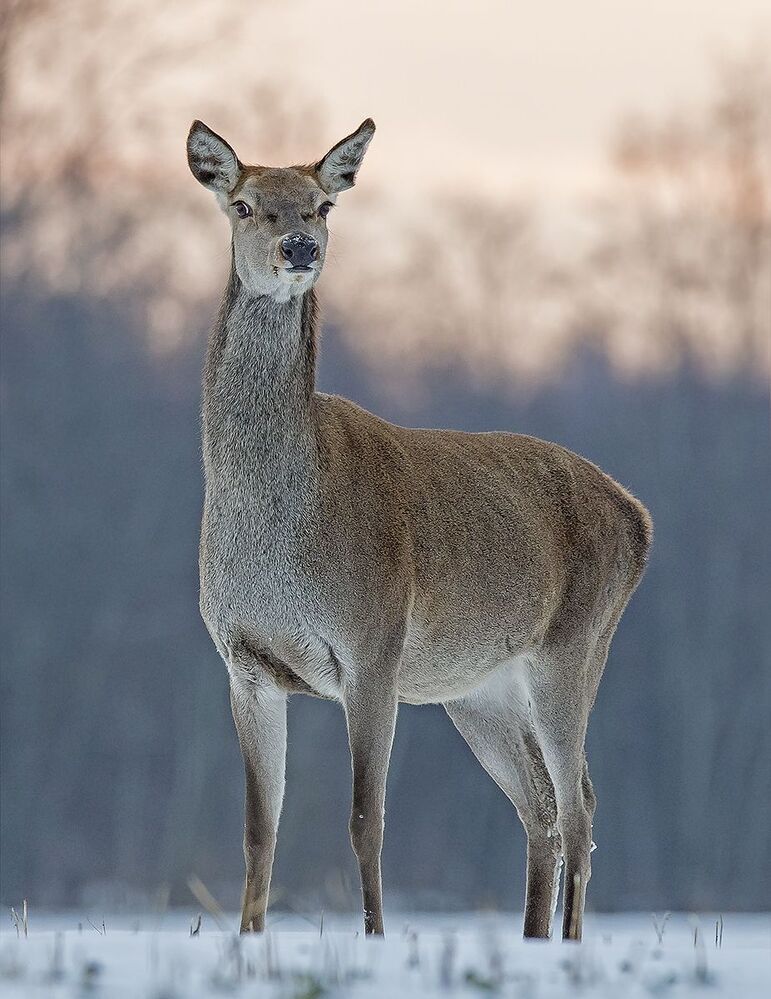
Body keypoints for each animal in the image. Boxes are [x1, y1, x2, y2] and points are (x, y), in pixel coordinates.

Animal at [186, 116, 652, 942]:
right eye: (242, 204)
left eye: (322, 205)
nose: (298, 248)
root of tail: (639, 516)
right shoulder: (244, 662)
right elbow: (258, 826)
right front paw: (247, 939)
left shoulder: (371, 644)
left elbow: (364, 818)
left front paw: (373, 936)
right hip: (477, 688)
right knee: (539, 806)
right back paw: (531, 938)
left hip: (574, 645)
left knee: (580, 803)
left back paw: (566, 941)